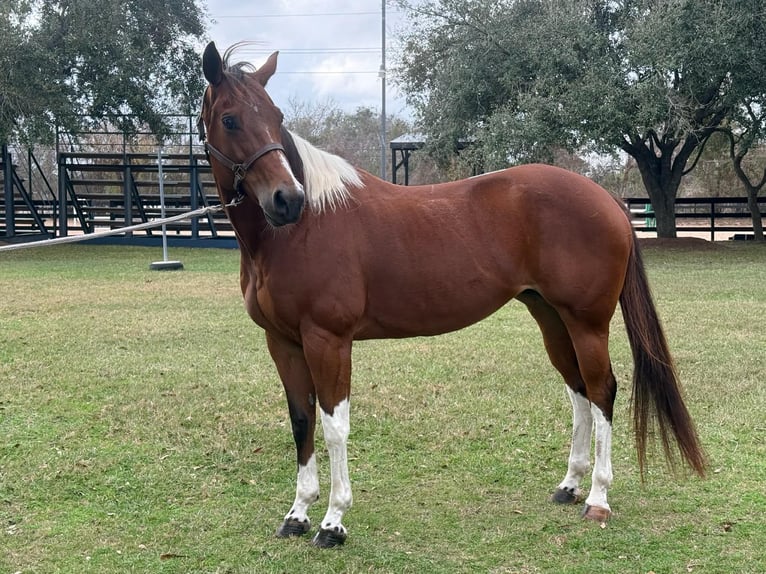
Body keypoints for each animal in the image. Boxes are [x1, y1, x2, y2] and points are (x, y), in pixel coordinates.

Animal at [198, 41, 706, 548]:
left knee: (602, 391)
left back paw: (598, 499)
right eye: (230, 119)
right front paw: (298, 513)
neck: (299, 232)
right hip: (552, 319)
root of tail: (608, 200)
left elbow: (334, 426)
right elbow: (301, 420)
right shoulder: (283, 342)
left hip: (588, 322)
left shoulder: (328, 340)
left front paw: (333, 522)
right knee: (579, 389)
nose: (288, 200)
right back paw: (570, 486)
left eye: (275, 115)